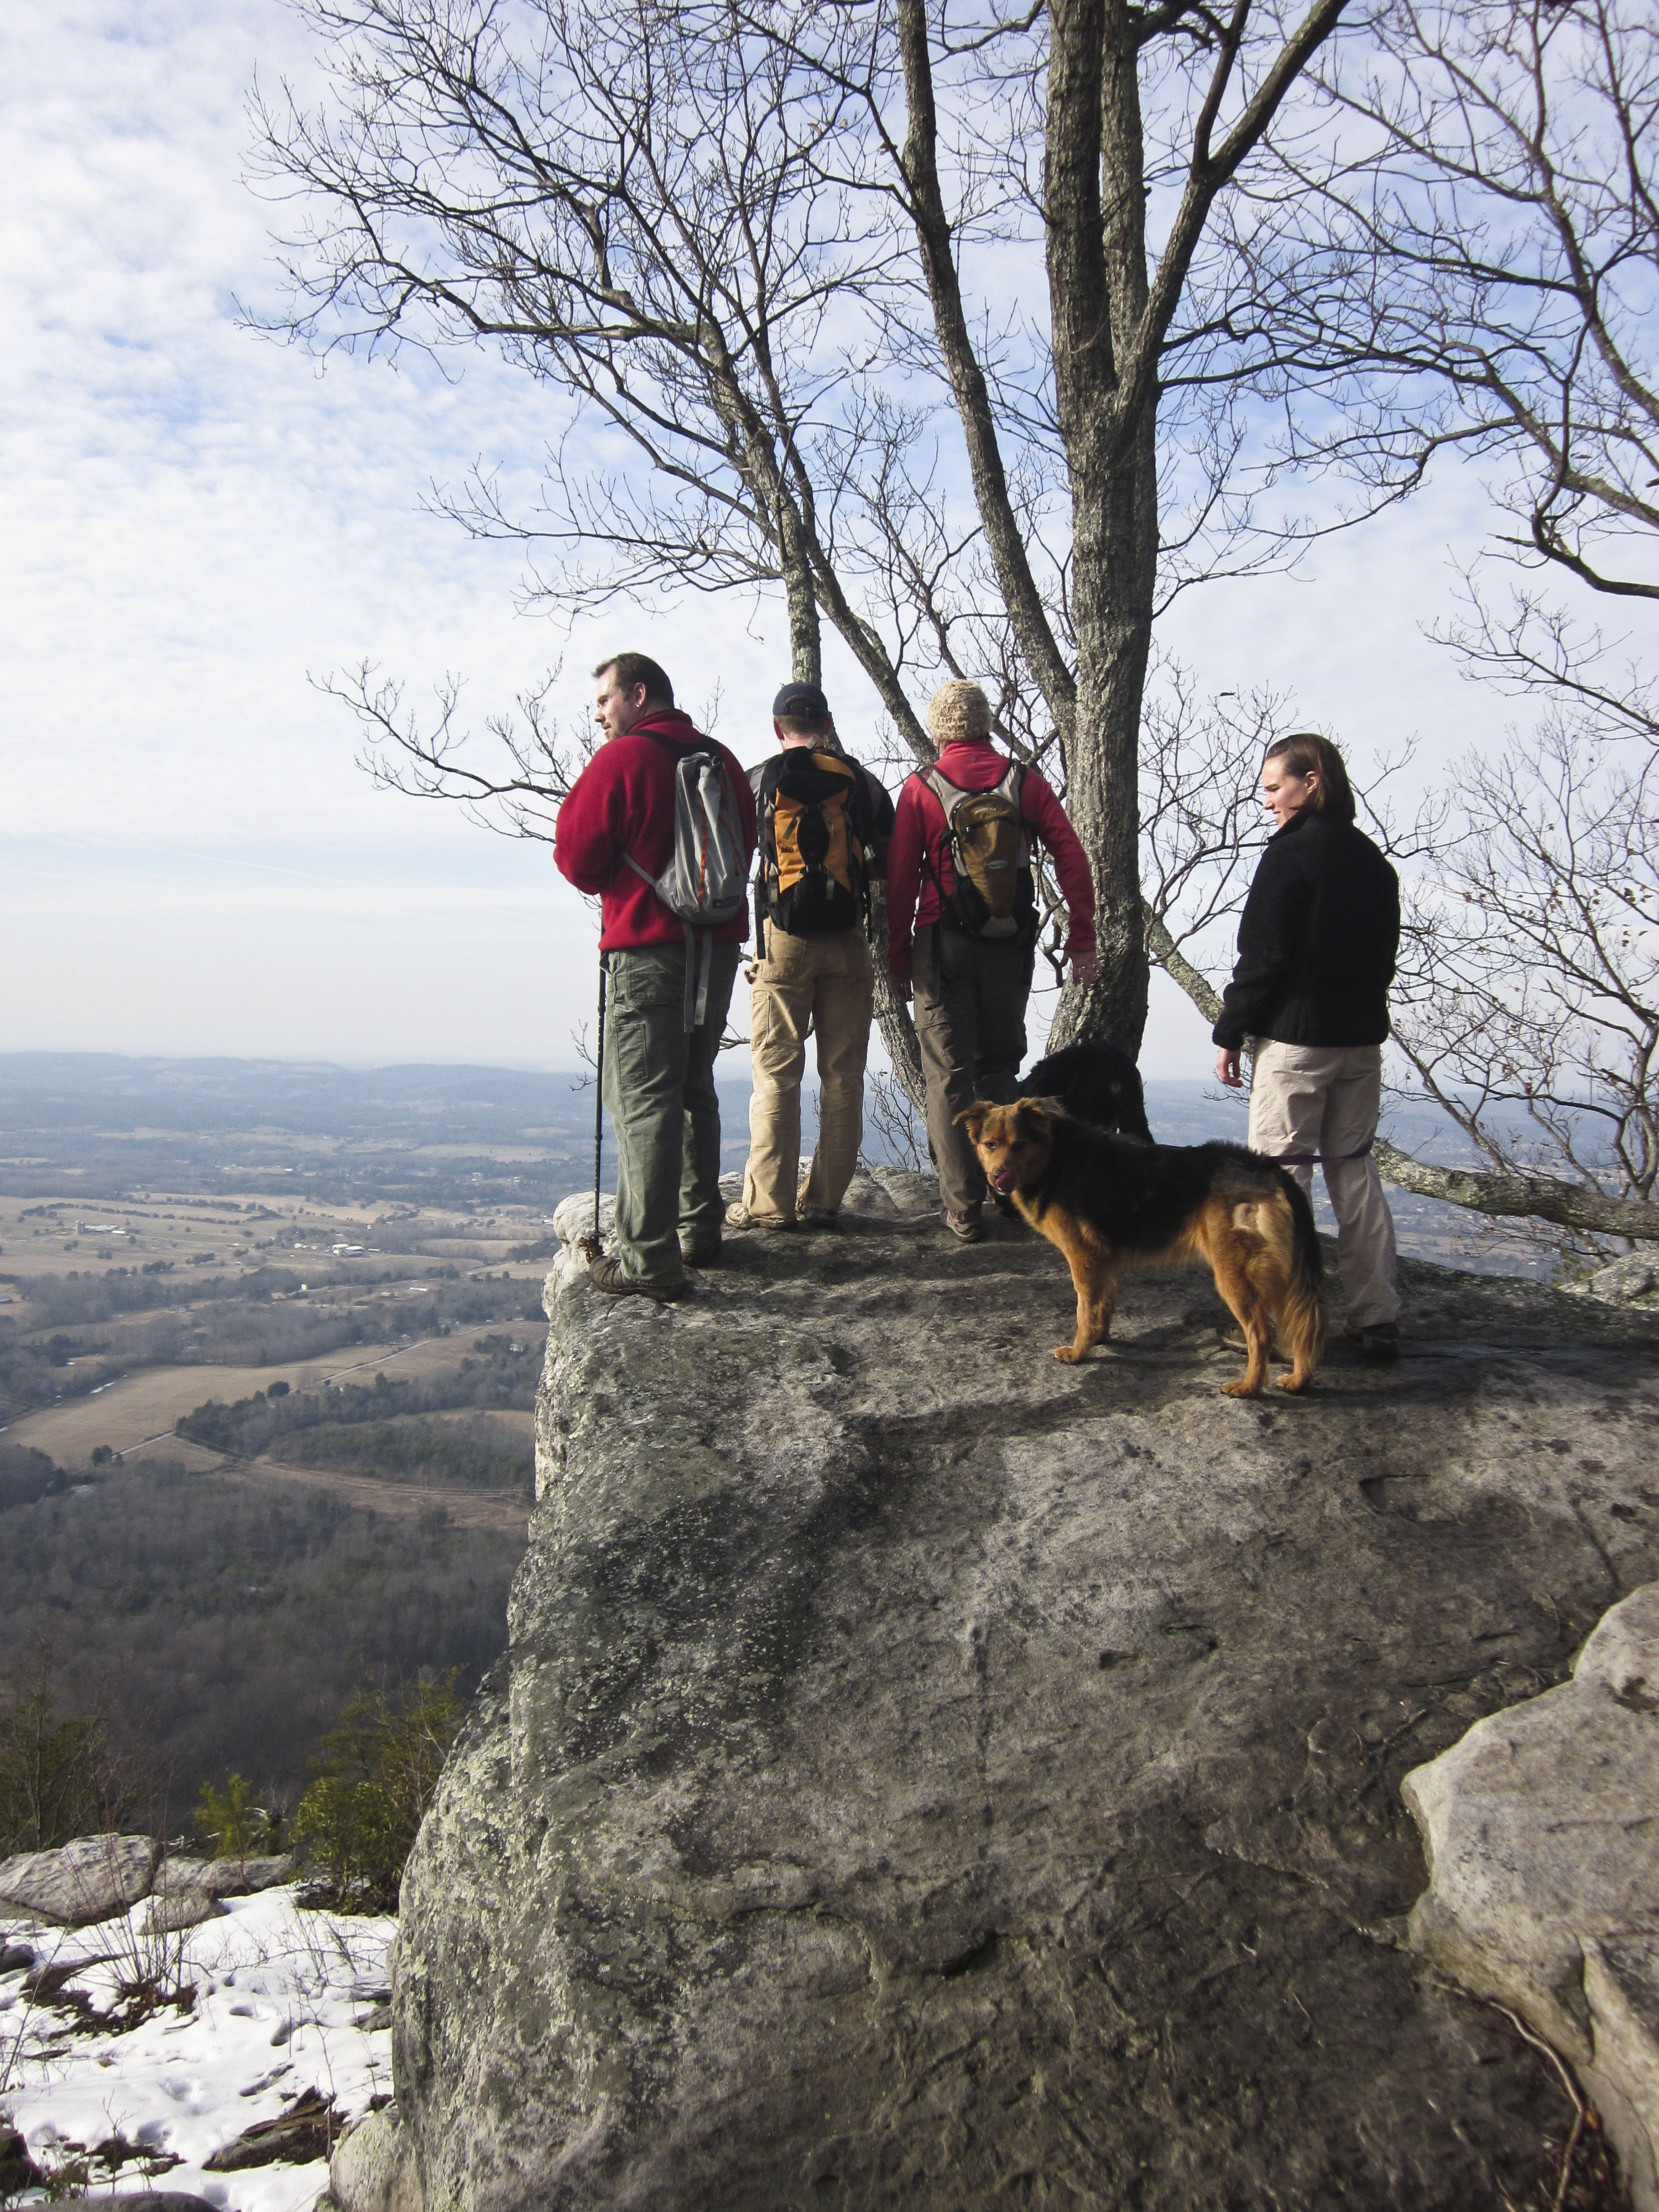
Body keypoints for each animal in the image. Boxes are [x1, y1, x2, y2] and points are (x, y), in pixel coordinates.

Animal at [960, 1097, 1327, 1389]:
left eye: (1019, 1145)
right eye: (991, 1145)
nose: (998, 1178)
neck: (1055, 1158)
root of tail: (1272, 1170)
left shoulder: (1083, 1256)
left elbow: (1083, 1308)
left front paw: (1079, 1352)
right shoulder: (1104, 1258)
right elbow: (1102, 1304)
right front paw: (1099, 1338)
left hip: (1235, 1274)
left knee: (1262, 1335)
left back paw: (1249, 1387)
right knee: (1302, 1328)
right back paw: (1298, 1380)